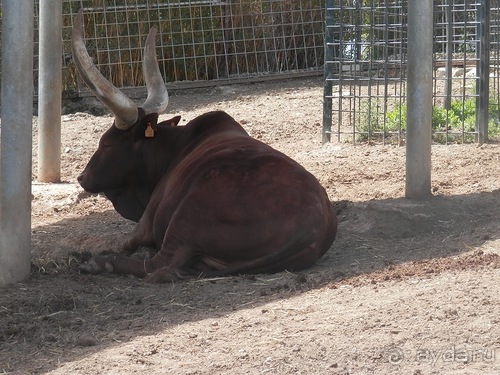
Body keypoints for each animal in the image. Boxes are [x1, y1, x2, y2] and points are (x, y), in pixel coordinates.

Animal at [73, 8, 340, 282]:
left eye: (106, 144)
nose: (82, 177)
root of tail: (312, 229)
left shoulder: (145, 224)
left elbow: (126, 242)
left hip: (186, 217)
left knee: (162, 267)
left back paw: (100, 263)